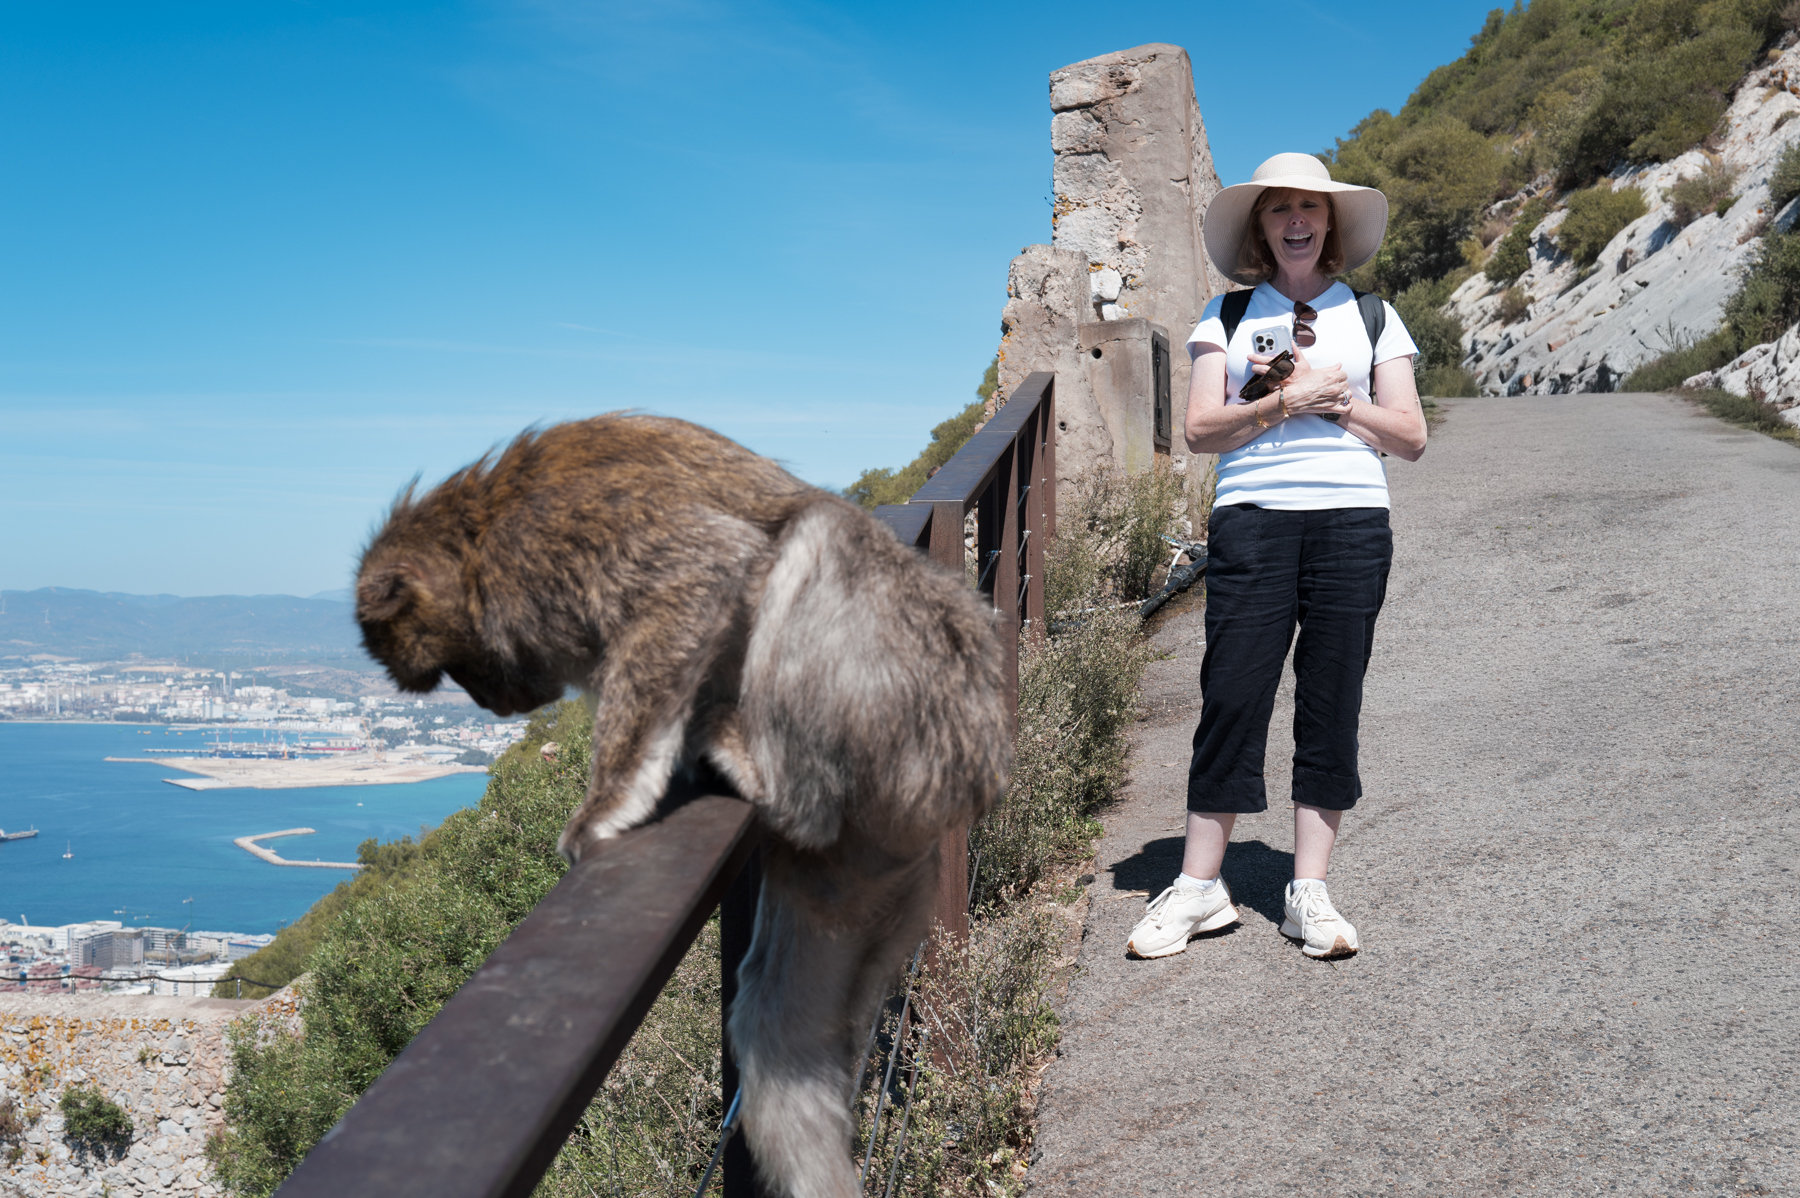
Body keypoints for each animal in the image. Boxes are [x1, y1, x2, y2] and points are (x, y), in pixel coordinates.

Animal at [354, 413, 1011, 1198]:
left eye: (454, 668)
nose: (490, 704)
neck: (482, 540)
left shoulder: (557, 542)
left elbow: (701, 572)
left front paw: (602, 810)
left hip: (913, 721)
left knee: (816, 541)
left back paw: (776, 779)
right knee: (776, 1015)